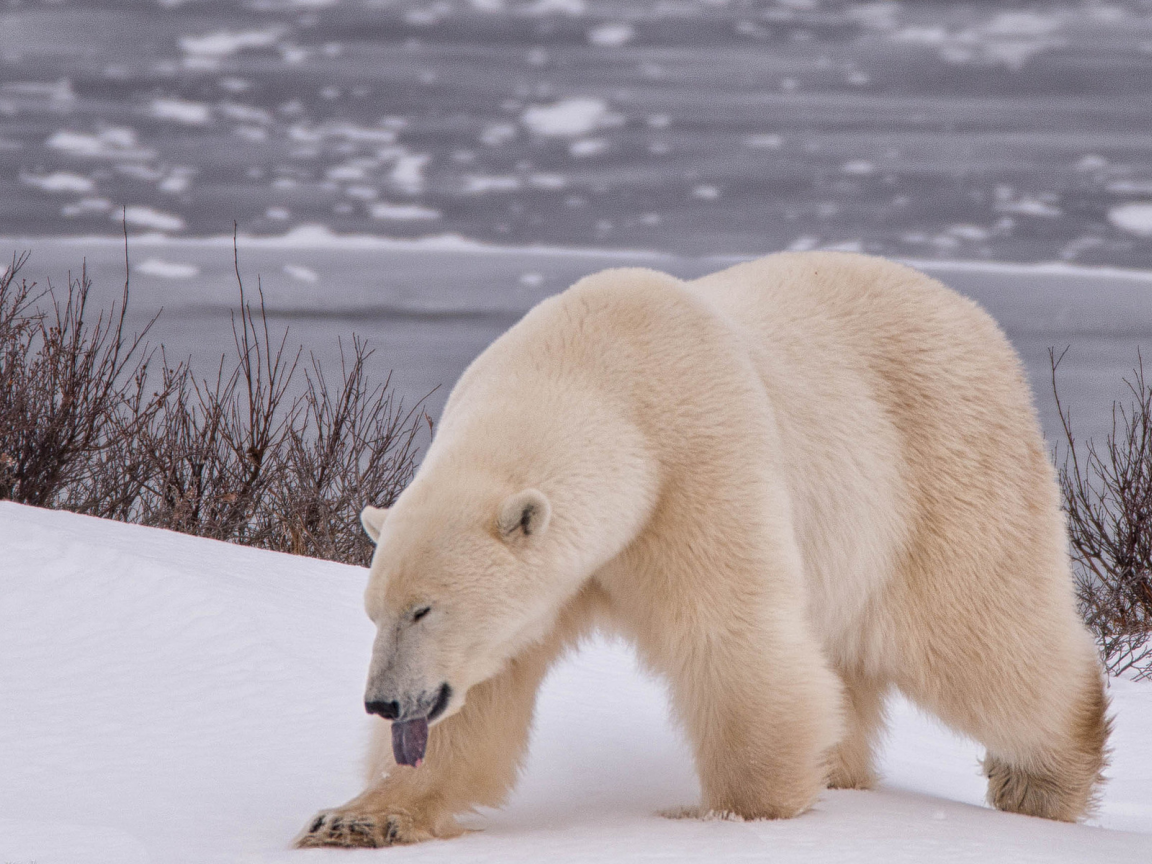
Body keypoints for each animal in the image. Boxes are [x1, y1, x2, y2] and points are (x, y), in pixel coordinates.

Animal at [297, 252, 1105, 852]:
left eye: (424, 609)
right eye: (374, 611)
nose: (383, 701)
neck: (596, 371)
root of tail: (971, 312)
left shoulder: (695, 465)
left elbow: (727, 636)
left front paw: (734, 812)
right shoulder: (554, 583)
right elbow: (484, 695)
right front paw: (354, 818)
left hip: (942, 466)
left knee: (975, 633)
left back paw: (1044, 778)